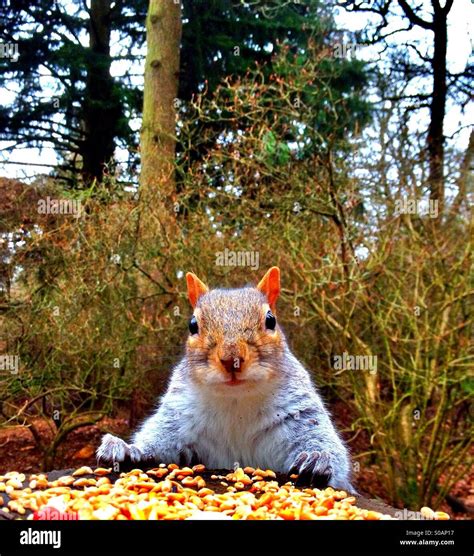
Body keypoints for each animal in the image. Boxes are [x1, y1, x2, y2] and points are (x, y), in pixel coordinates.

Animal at [97, 268, 352, 488]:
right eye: (192, 325)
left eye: (270, 320)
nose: (232, 359)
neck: (235, 398)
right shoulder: (179, 415)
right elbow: (160, 439)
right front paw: (128, 449)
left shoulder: (299, 412)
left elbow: (322, 440)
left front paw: (317, 459)